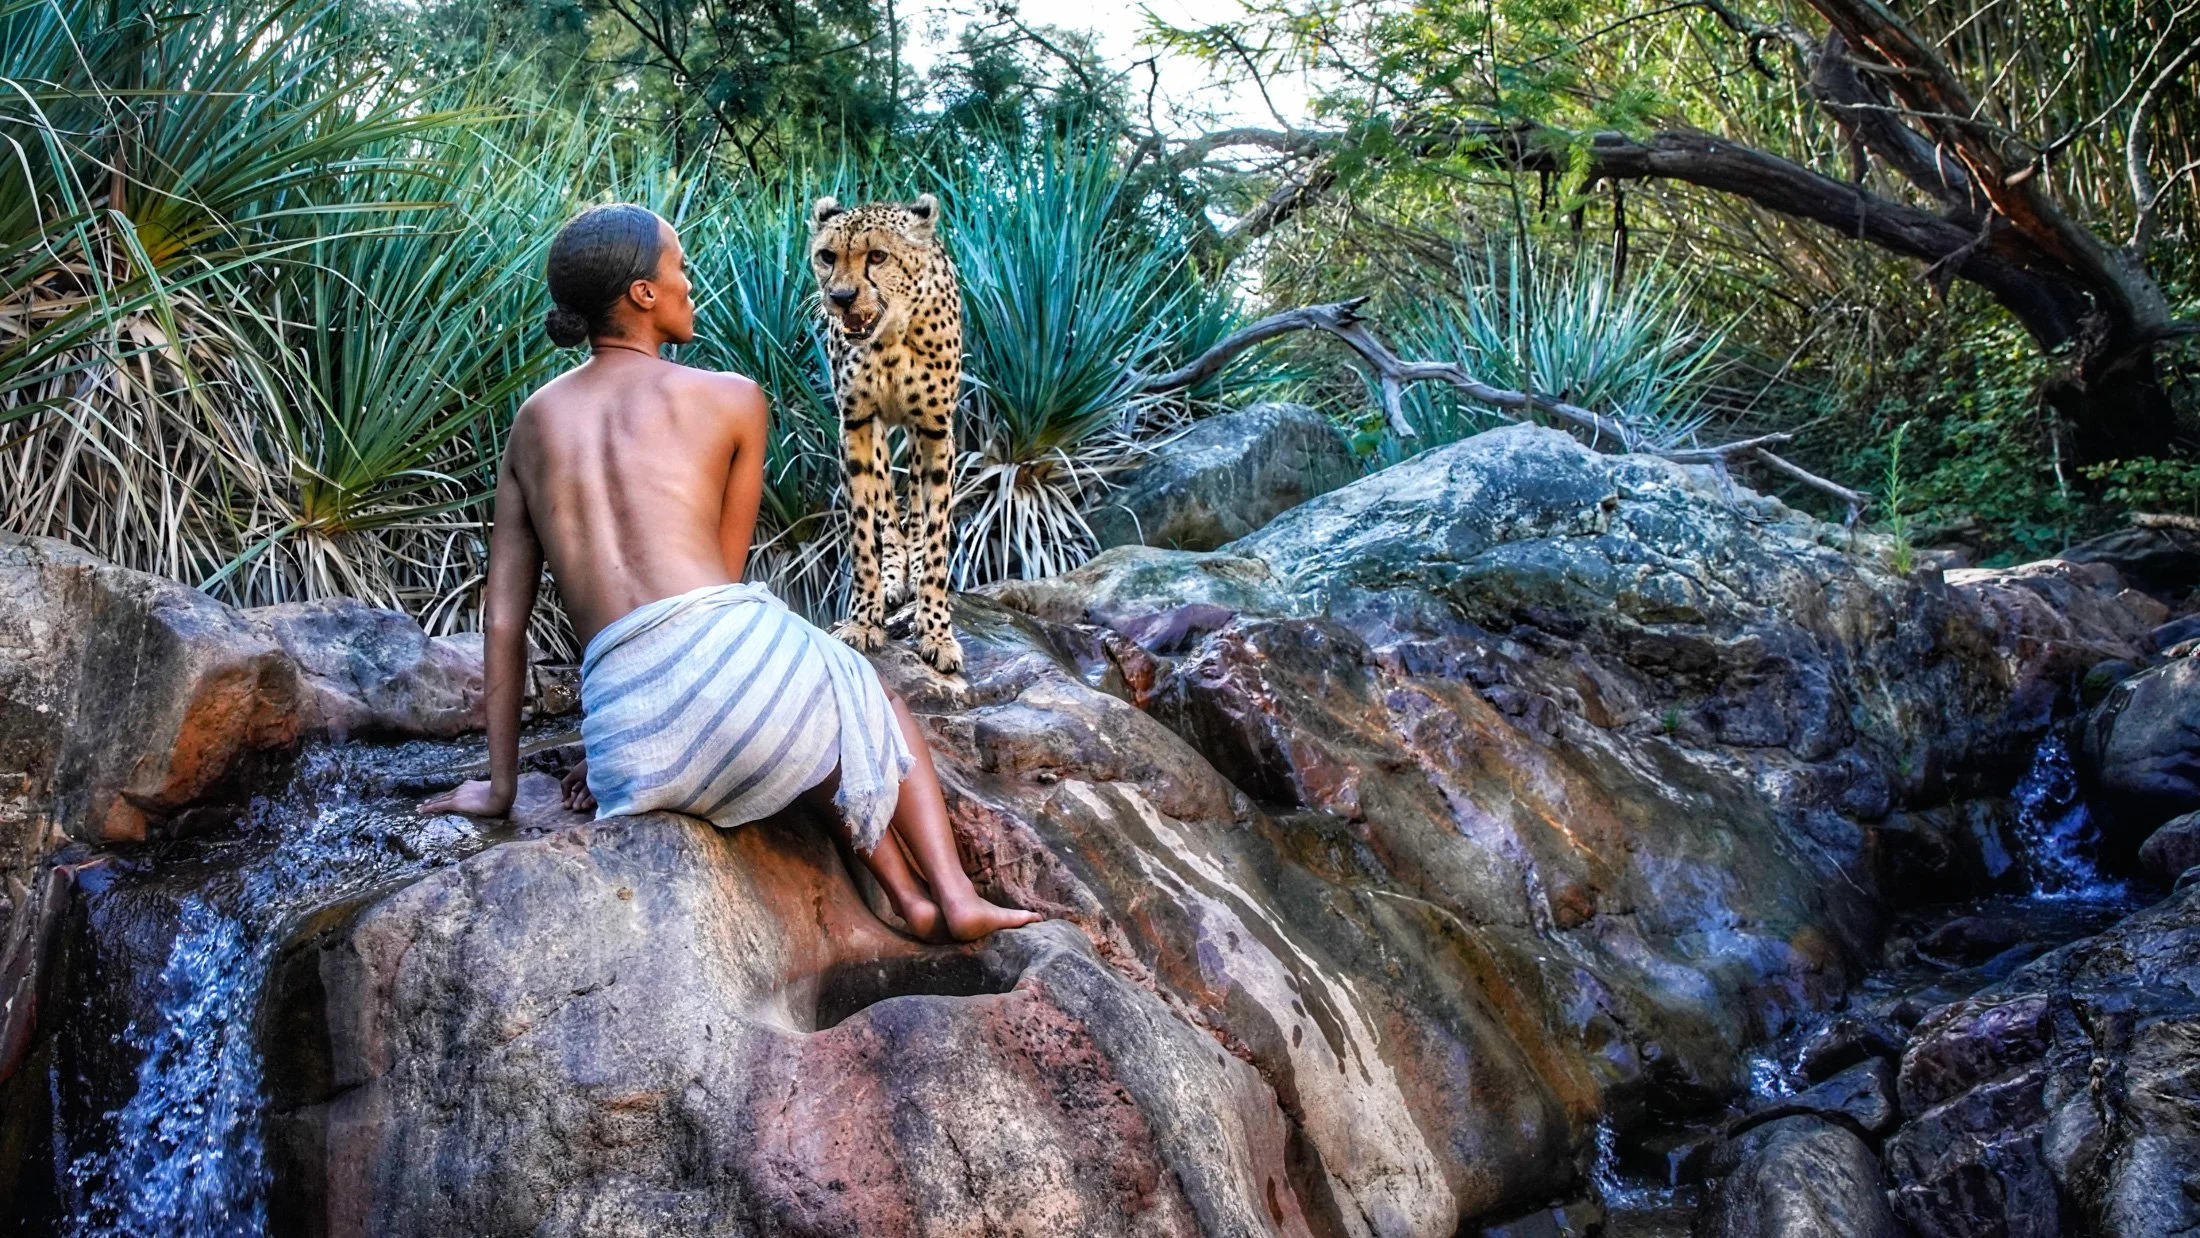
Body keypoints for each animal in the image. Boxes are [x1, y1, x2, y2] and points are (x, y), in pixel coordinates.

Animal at [809, 193, 965, 675]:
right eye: (827, 257)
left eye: (877, 256)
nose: (841, 298)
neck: (891, 339)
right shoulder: (857, 425)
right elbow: (863, 534)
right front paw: (864, 620)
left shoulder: (936, 430)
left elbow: (936, 538)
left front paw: (936, 631)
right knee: (888, 513)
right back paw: (894, 577)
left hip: (915, 437)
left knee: (913, 506)